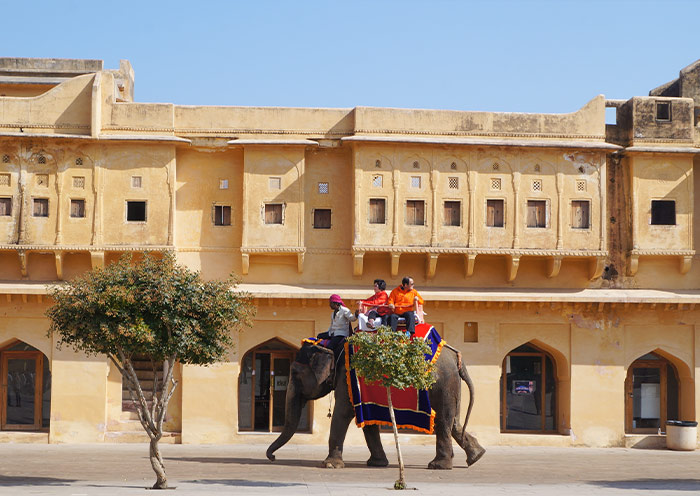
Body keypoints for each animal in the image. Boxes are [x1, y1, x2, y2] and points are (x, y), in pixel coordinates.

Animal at [266, 340, 484, 468]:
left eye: (294, 373)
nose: (272, 458)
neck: (335, 347)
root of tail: (457, 357)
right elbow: (368, 419)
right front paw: (377, 463)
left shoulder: (347, 378)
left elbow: (342, 413)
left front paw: (330, 465)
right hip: (451, 384)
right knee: (452, 421)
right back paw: (476, 457)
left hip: (443, 382)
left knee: (443, 419)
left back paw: (438, 465)